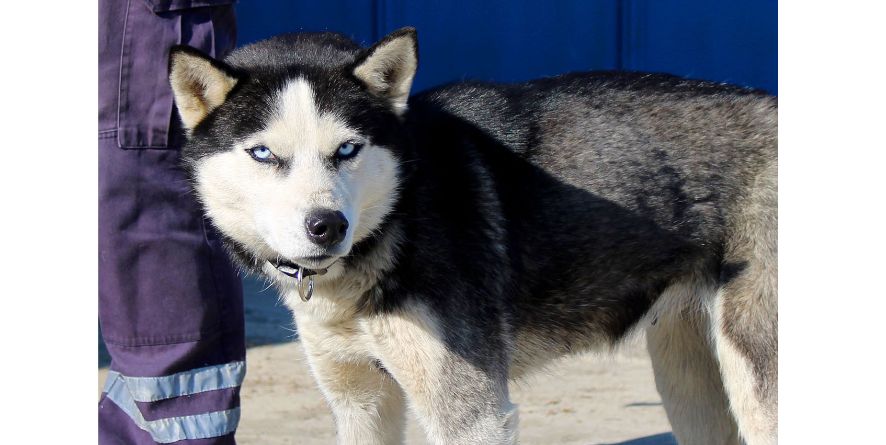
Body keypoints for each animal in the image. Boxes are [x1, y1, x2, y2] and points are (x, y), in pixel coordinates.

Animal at [166, 27, 776, 444]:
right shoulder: (361, 403)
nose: (327, 225)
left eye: (347, 149)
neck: (402, 211)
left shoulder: (473, 415)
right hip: (688, 379)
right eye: (263, 153)